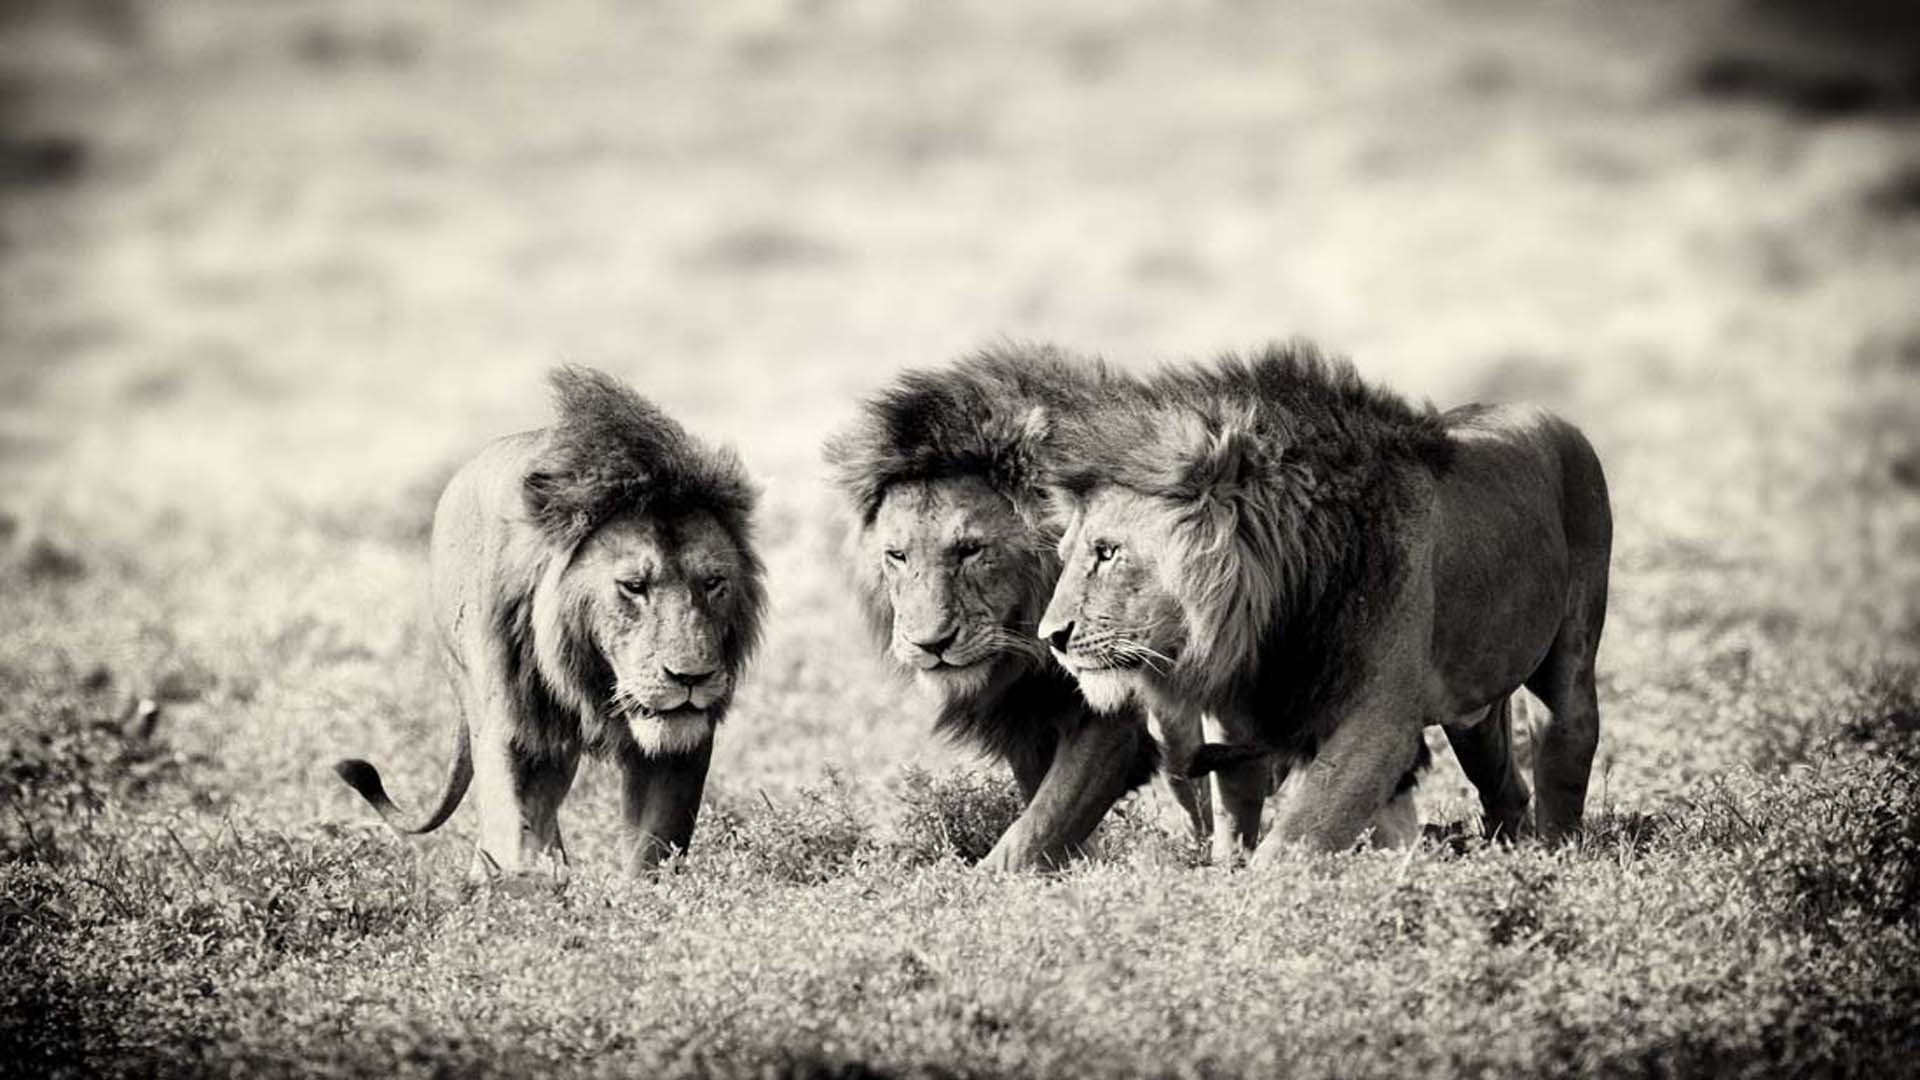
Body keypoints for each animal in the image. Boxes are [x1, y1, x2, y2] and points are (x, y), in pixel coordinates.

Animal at [335, 366, 766, 876]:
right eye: (633, 586)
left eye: (714, 582)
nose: (691, 677)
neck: (588, 679)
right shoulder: (513, 730)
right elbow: (518, 822)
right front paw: (527, 882)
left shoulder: (681, 751)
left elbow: (652, 846)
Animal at [824, 346, 1183, 871]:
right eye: (897, 555)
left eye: (971, 549)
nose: (930, 644)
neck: (1023, 650)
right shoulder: (1024, 724)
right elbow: (1045, 814)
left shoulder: (1113, 720)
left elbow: (1035, 828)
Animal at [1038, 342, 1610, 858]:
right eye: (1065, 553)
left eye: (1107, 551)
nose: (1052, 638)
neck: (1275, 612)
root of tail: (1552, 416)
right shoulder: (1240, 713)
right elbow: (1236, 813)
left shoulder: (1378, 725)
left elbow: (1299, 833)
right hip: (1475, 708)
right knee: (1505, 786)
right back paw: (1503, 859)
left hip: (1570, 660)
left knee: (1565, 751)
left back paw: (1557, 858)